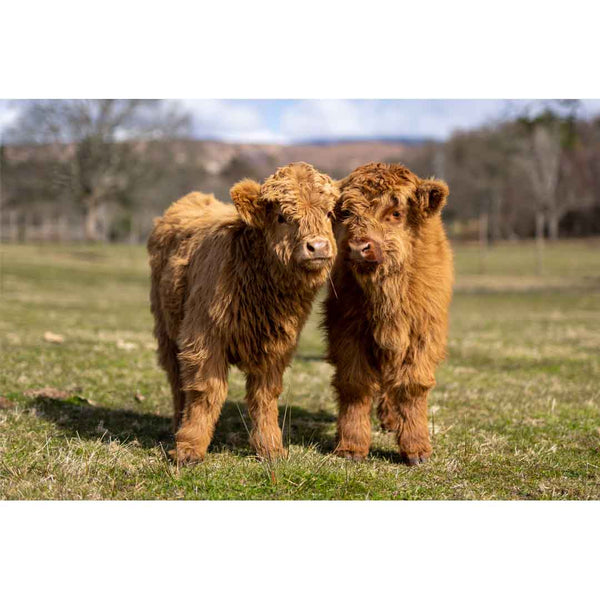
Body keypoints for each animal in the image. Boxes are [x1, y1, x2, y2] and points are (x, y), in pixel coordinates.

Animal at [148, 161, 338, 464]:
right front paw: (189, 448)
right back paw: (177, 425)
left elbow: (265, 396)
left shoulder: (278, 347)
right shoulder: (203, 339)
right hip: (166, 329)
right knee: (177, 381)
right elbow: (205, 391)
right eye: (282, 217)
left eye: (329, 213)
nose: (317, 246)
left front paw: (271, 448)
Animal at [326, 163, 452, 464]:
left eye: (396, 213)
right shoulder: (346, 331)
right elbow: (355, 384)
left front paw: (416, 449)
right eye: (346, 213)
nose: (358, 247)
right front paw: (351, 446)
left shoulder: (423, 333)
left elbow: (412, 386)